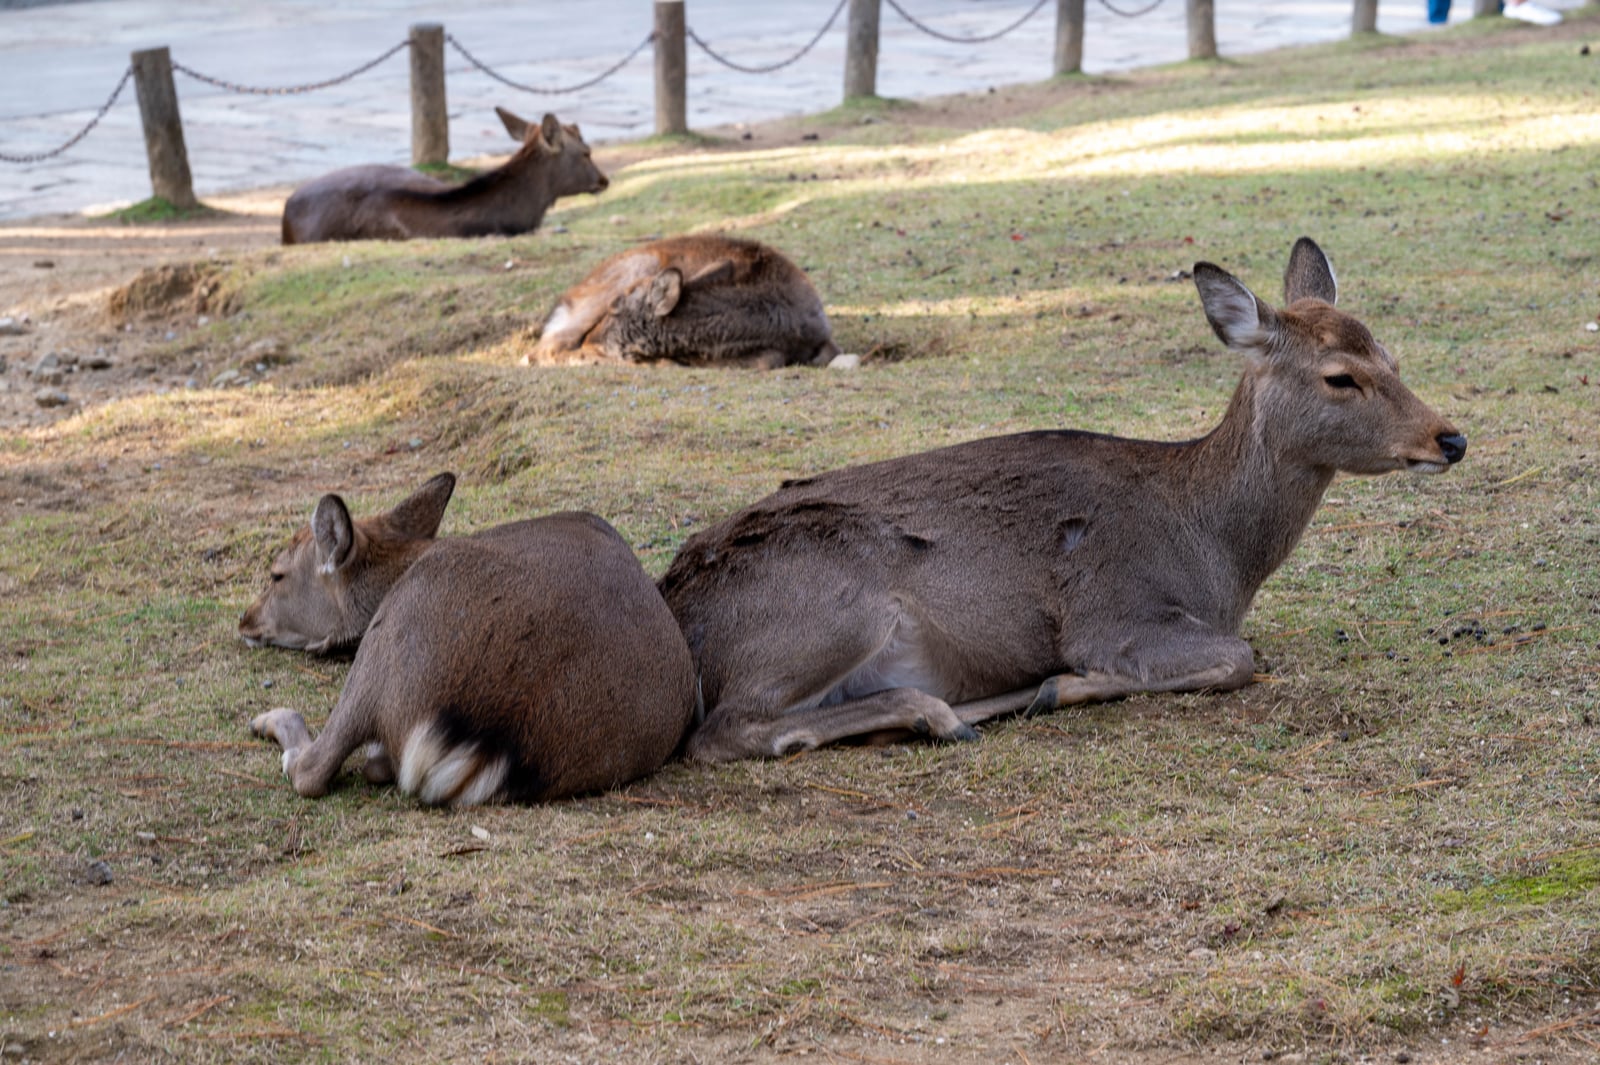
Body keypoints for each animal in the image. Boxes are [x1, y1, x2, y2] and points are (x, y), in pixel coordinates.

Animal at [241, 474, 696, 805]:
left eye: (277, 575)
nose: (245, 620)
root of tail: (500, 742)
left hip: (391, 640)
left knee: (314, 770)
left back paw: (269, 721)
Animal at [658, 238, 1467, 762]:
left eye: (1392, 357)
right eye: (1340, 376)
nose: (1450, 437)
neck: (1217, 554)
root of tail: (681, 609)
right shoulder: (1112, 611)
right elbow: (1238, 657)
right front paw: (1069, 684)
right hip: (835, 606)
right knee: (723, 733)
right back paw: (944, 714)